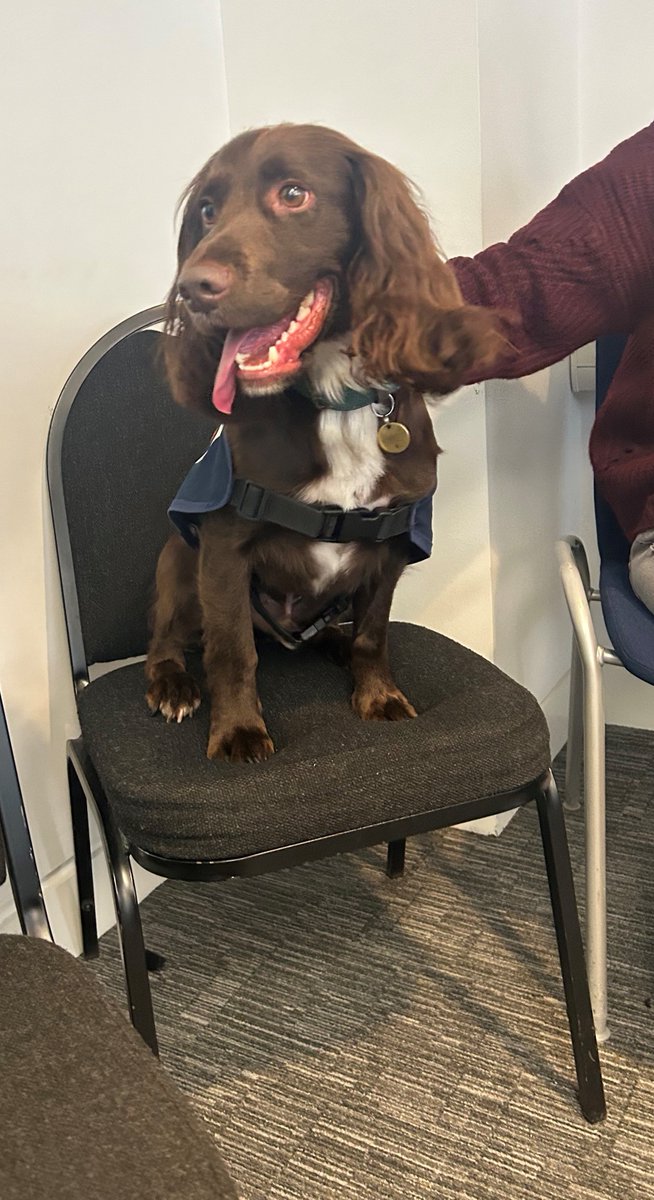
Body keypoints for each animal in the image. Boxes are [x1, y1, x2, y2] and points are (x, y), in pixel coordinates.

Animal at [145, 121, 496, 758]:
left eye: (293, 194)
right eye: (207, 210)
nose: (192, 289)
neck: (336, 401)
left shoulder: (393, 543)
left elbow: (373, 635)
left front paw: (377, 695)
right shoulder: (223, 545)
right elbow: (231, 649)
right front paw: (238, 730)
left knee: (336, 632)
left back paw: (333, 643)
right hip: (180, 556)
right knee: (170, 639)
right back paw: (173, 684)